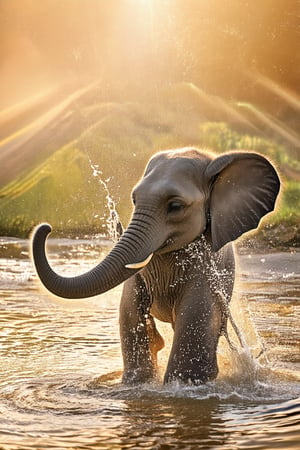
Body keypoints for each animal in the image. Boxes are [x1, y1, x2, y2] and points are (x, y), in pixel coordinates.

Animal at [32, 148, 282, 384]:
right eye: (134, 200)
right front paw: (136, 384)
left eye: (175, 205)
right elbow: (130, 313)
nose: (46, 227)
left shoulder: (209, 269)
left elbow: (194, 323)